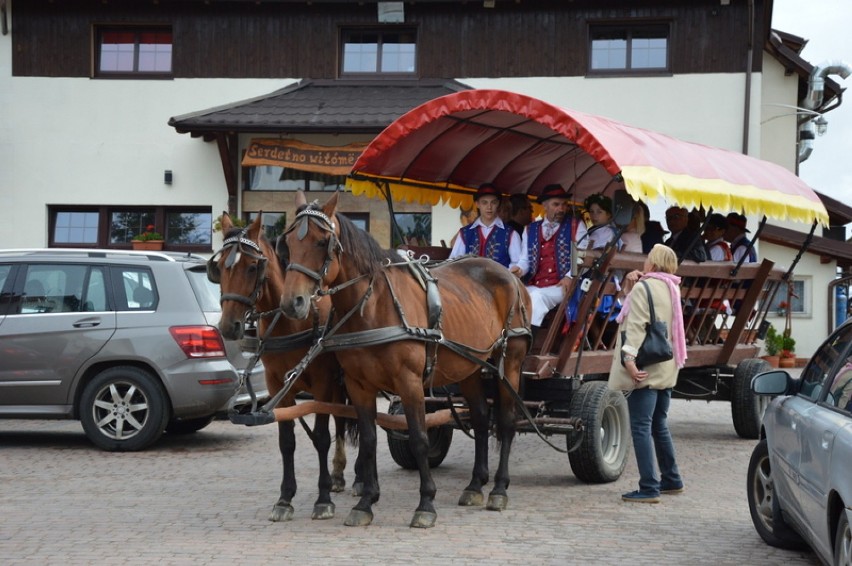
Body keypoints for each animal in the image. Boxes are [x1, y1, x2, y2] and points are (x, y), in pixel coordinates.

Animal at [211, 213, 354, 524]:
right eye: (219, 267)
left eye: (253, 266)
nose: (229, 326)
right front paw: (285, 499)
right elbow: (286, 441)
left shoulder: (323, 382)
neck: (291, 323)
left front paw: (322, 499)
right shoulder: (278, 385)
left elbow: (321, 438)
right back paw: (339, 474)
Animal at [280, 193, 528, 532]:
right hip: (469, 366)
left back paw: (499, 489)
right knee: (479, 418)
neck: (373, 305)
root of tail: (510, 276)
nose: (292, 303)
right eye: (288, 241)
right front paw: (365, 503)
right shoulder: (359, 385)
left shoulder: (409, 382)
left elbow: (419, 439)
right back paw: (476, 485)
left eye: (321, 242)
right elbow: (369, 440)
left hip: (509, 364)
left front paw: (426, 503)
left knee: (505, 423)